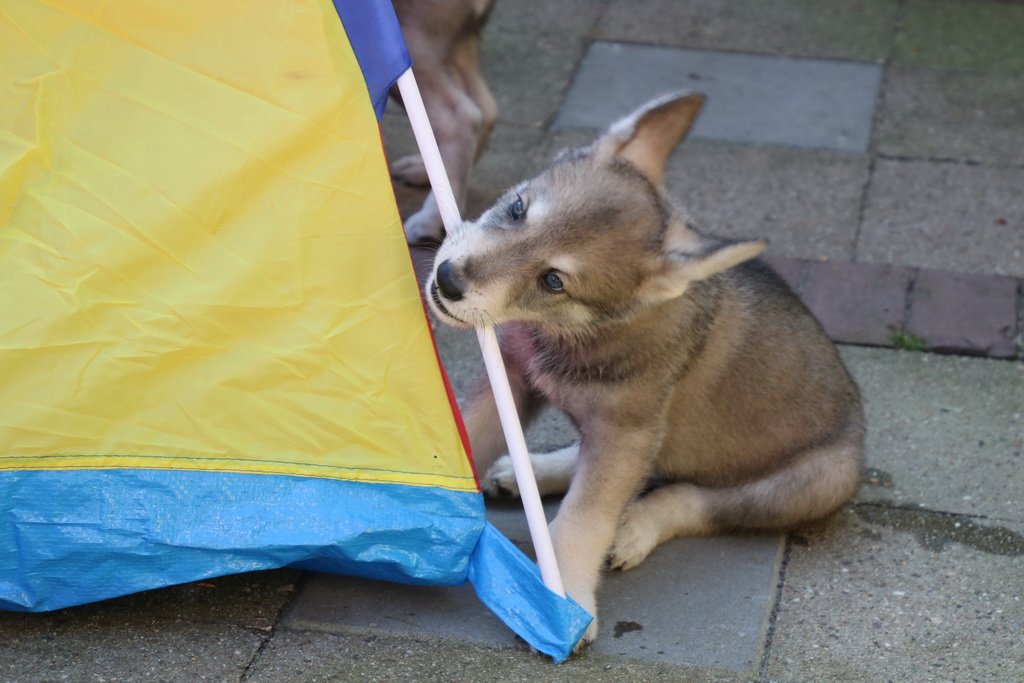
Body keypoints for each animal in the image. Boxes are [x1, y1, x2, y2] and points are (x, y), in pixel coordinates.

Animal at [424, 92, 866, 650]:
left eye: (554, 281)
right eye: (518, 208)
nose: (448, 280)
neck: (568, 334)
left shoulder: (625, 432)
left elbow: (584, 518)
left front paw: (565, 603)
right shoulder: (516, 378)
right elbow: (471, 435)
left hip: (812, 482)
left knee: (689, 498)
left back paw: (633, 527)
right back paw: (534, 472)